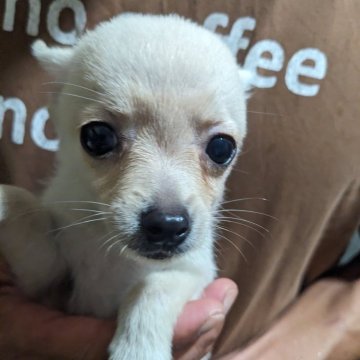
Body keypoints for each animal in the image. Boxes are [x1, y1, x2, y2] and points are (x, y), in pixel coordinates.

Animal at [0, 12, 249, 358]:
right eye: (98, 137)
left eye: (222, 149)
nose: (168, 225)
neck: (117, 257)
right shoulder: (43, 278)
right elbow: (24, 208)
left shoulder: (194, 273)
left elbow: (153, 287)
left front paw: (140, 349)